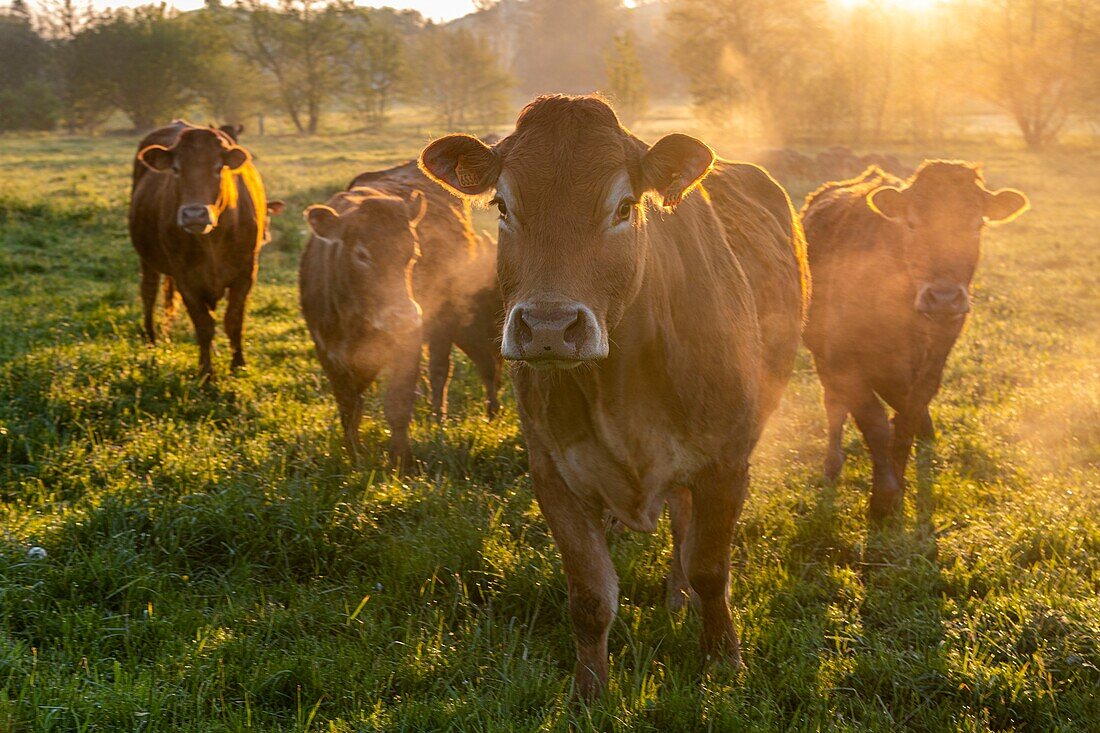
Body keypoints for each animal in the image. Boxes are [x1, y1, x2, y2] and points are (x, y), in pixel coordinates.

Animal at [130, 120, 281, 378]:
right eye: (176, 169)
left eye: (218, 168)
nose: (194, 214)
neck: (212, 240)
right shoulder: (186, 279)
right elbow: (203, 325)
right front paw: (206, 372)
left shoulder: (246, 274)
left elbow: (233, 320)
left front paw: (238, 363)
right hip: (148, 260)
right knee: (148, 293)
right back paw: (151, 338)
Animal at [303, 162, 503, 464]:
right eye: (361, 254)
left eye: (413, 252)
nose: (404, 315)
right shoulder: (328, 352)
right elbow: (349, 406)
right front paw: (353, 453)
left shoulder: (408, 345)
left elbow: (398, 403)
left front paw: (402, 460)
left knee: (446, 370)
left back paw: (442, 418)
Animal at [413, 95, 809, 695]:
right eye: (502, 205)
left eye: (624, 207)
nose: (549, 327)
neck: (620, 391)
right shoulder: (553, 472)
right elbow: (590, 597)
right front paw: (589, 692)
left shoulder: (725, 462)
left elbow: (711, 568)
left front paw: (723, 661)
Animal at [805, 159, 1025, 517]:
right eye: (911, 223)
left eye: (977, 224)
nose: (944, 298)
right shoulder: (842, 360)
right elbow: (874, 422)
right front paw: (884, 498)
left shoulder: (934, 360)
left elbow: (906, 418)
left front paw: (899, 478)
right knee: (834, 405)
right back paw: (832, 463)